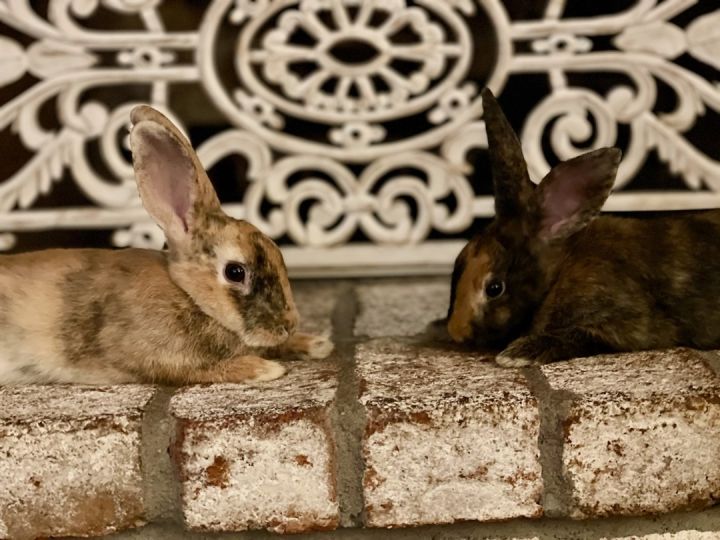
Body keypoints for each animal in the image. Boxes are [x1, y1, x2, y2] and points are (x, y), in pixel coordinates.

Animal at [0, 105, 333, 385]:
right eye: (235, 272)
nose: (287, 325)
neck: (188, 294)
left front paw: (315, 344)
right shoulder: (157, 357)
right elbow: (200, 370)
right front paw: (262, 369)